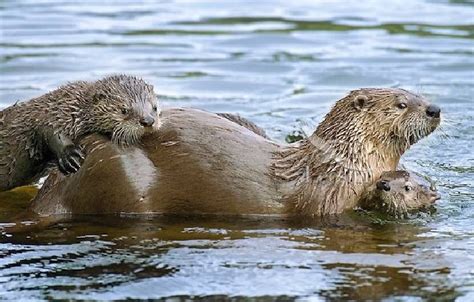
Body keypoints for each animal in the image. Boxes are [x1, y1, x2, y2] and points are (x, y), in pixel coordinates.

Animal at [0, 74, 160, 191]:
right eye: (124, 110)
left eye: (154, 107)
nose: (148, 121)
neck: (73, 107)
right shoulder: (47, 116)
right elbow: (48, 132)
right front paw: (70, 156)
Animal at [27, 87, 438, 217]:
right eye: (402, 103)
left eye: (422, 96)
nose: (434, 109)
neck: (343, 163)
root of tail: (54, 188)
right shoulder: (327, 202)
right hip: (118, 177)